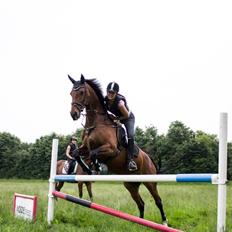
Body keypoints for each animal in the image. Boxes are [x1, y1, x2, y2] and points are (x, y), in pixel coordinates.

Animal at [68, 74, 168, 225]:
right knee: (141, 203)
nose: (73, 114)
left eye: (81, 92)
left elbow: (94, 154)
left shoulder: (111, 150)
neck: (96, 123)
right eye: (71, 93)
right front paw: (88, 169)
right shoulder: (84, 148)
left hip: (149, 181)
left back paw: (164, 222)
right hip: (130, 185)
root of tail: (149, 158)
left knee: (158, 201)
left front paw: (97, 168)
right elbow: (76, 154)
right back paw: (139, 222)